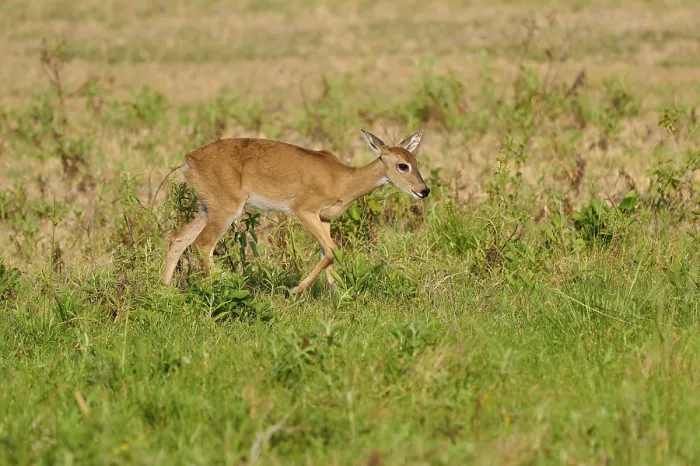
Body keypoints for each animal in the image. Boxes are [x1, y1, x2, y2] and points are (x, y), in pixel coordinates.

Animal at [163, 129, 431, 295]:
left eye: (416, 162)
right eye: (402, 165)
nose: (424, 190)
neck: (342, 179)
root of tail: (190, 159)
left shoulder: (325, 218)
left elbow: (330, 253)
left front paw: (336, 295)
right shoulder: (304, 210)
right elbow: (332, 251)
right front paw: (294, 290)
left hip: (207, 207)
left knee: (178, 239)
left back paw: (163, 290)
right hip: (226, 208)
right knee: (202, 244)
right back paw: (223, 288)